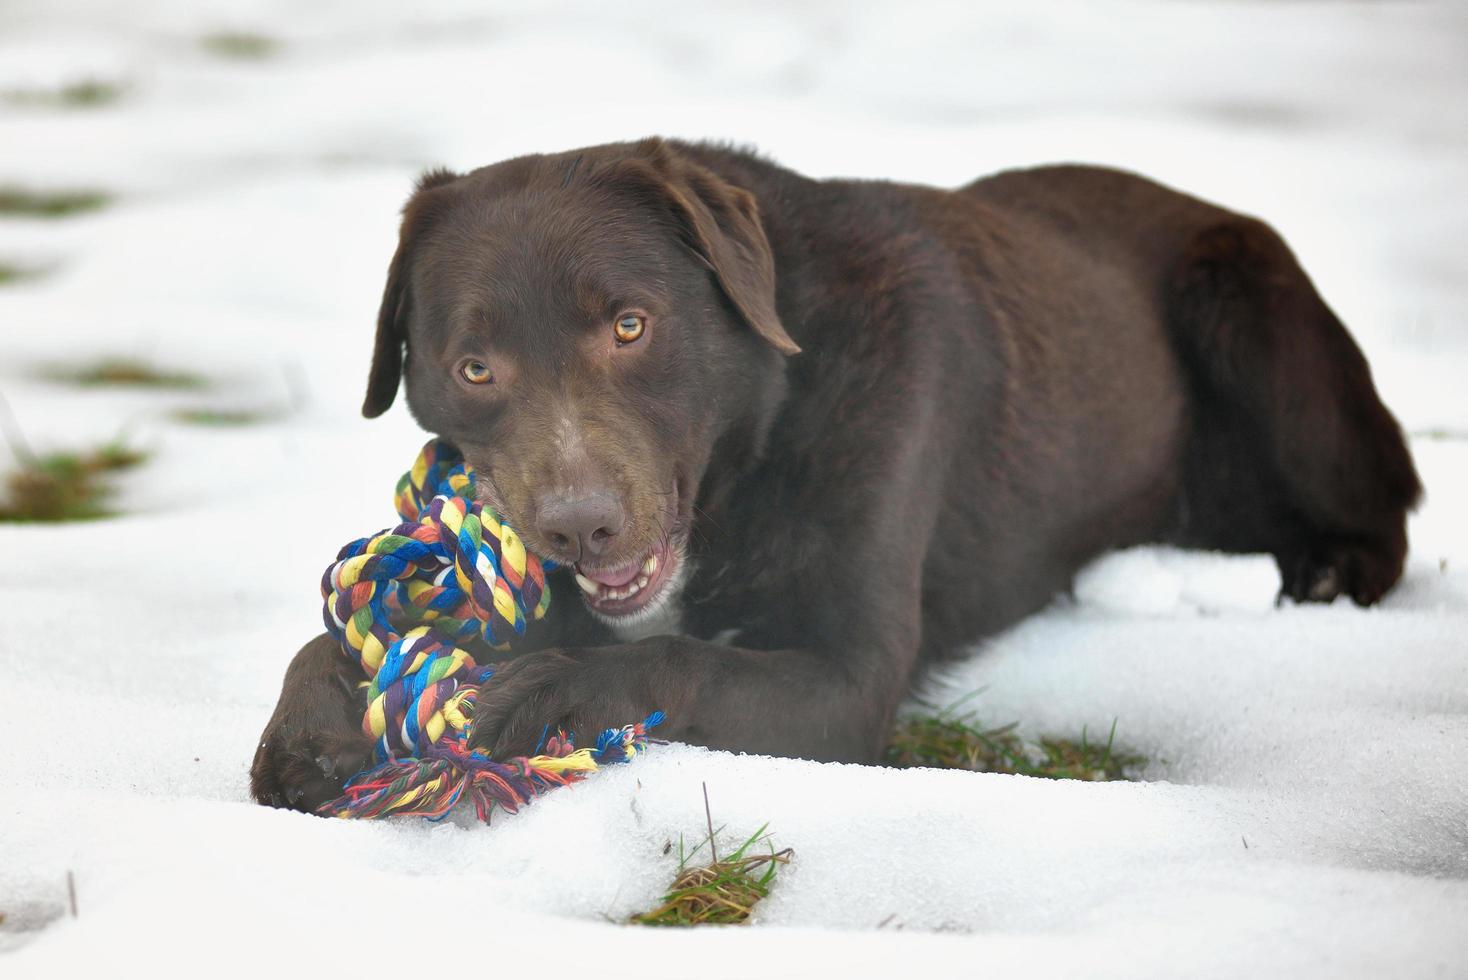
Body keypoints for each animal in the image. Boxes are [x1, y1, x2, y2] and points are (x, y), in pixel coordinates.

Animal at [252, 137, 1421, 809]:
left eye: (630, 324)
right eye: (474, 367)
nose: (579, 527)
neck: (759, 436)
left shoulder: (850, 679)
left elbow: (686, 661)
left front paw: (551, 697)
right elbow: (330, 640)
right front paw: (310, 724)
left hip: (1254, 314)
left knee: (1387, 507)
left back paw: (1327, 570)